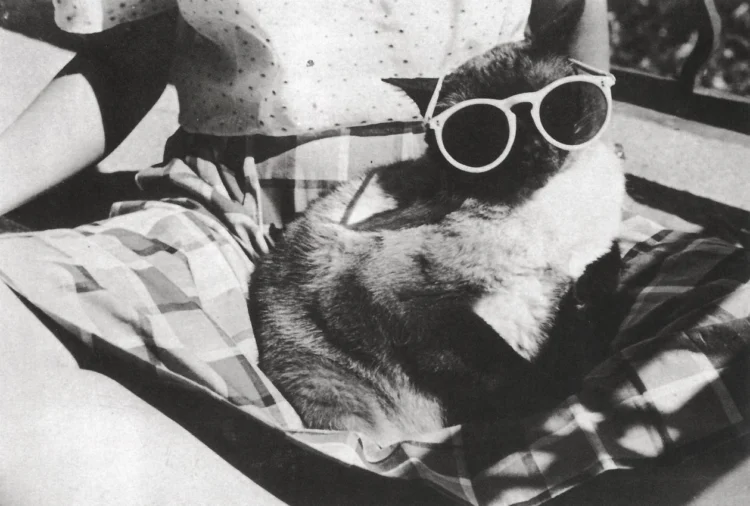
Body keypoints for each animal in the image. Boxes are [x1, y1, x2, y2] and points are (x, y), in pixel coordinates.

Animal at [250, 37, 625, 447]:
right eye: (483, 131)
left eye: (551, 110)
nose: (532, 152)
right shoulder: (417, 307)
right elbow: (524, 374)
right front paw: (553, 397)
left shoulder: (586, 267)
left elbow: (598, 291)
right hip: (348, 401)